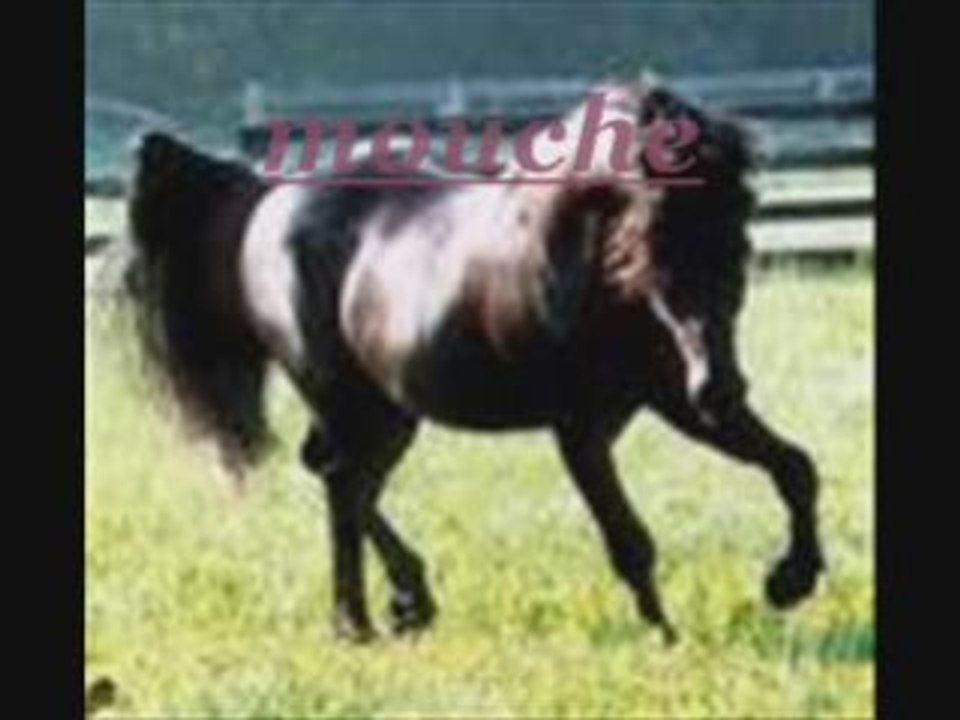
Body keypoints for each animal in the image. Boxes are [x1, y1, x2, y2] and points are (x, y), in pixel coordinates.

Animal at [124, 80, 825, 645]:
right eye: (655, 246)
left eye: (739, 246)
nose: (721, 386)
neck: (583, 264)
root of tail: (268, 199)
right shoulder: (580, 428)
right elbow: (630, 540)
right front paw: (667, 639)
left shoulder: (671, 400)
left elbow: (796, 468)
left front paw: (791, 580)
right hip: (344, 395)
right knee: (343, 483)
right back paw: (357, 623)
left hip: (388, 412)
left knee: (341, 478)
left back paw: (407, 604)